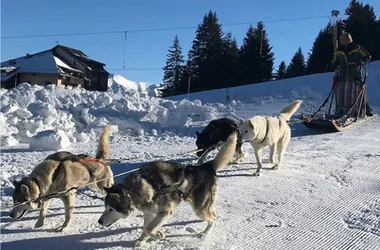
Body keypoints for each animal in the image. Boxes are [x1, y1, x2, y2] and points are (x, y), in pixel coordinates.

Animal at [96, 132, 236, 247]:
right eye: (105, 207)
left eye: (111, 209)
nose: (99, 221)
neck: (134, 190)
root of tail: (206, 166)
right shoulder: (149, 212)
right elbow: (146, 227)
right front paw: (142, 240)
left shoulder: (165, 212)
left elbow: (149, 228)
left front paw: (157, 234)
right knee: (212, 214)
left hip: (200, 208)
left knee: (213, 218)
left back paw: (205, 233)